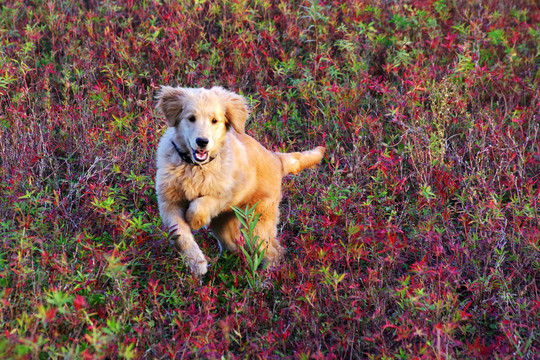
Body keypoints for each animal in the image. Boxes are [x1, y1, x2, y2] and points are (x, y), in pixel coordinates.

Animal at [156, 86, 324, 276]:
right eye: (191, 118)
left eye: (215, 121)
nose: (202, 142)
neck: (196, 168)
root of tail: (276, 158)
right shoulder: (169, 202)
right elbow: (179, 234)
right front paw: (196, 263)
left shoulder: (228, 192)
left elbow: (201, 204)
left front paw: (194, 220)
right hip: (223, 222)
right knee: (233, 245)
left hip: (257, 219)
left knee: (272, 250)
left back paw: (267, 277)